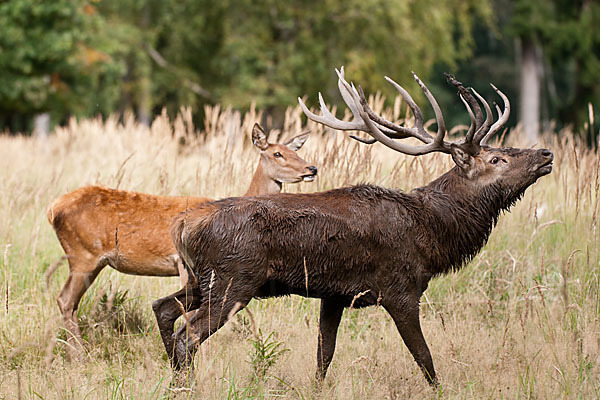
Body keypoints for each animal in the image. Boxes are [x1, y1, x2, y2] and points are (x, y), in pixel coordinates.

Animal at [47, 123, 317, 353]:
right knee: (65, 300)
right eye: (277, 154)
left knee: (69, 302)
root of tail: (53, 209)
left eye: (295, 151)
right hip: (83, 255)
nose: (311, 168)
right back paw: (80, 354)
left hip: (90, 261)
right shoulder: (182, 262)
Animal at [152, 68, 553, 387]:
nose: (546, 154)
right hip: (234, 279)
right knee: (188, 334)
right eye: (497, 159)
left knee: (163, 308)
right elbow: (425, 358)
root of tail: (183, 224)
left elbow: (323, 356)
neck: (430, 232)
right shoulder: (399, 288)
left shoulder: (334, 295)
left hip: (200, 279)